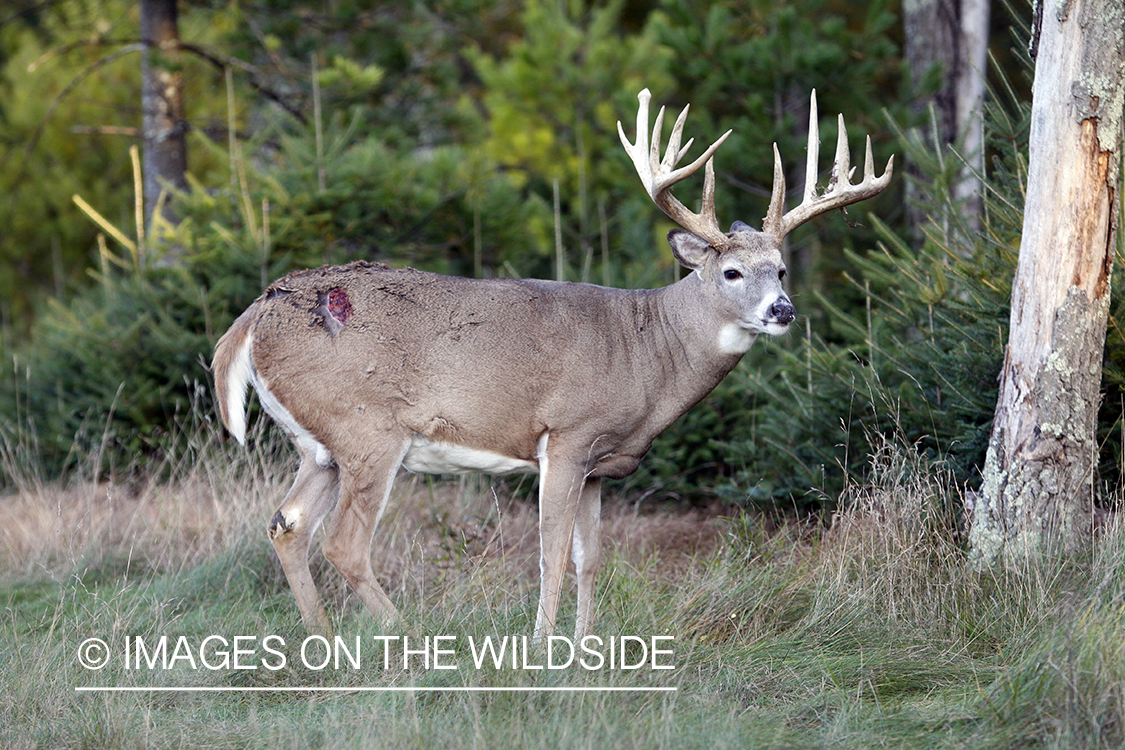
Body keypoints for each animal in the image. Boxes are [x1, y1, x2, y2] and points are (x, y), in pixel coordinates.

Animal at [211, 86, 891, 638]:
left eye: (780, 270)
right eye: (731, 272)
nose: (783, 310)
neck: (647, 349)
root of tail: (255, 315)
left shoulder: (598, 465)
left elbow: (591, 558)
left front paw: (585, 645)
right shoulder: (566, 436)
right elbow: (551, 552)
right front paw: (541, 645)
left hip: (320, 445)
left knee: (288, 526)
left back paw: (323, 640)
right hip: (366, 427)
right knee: (344, 543)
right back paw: (406, 636)